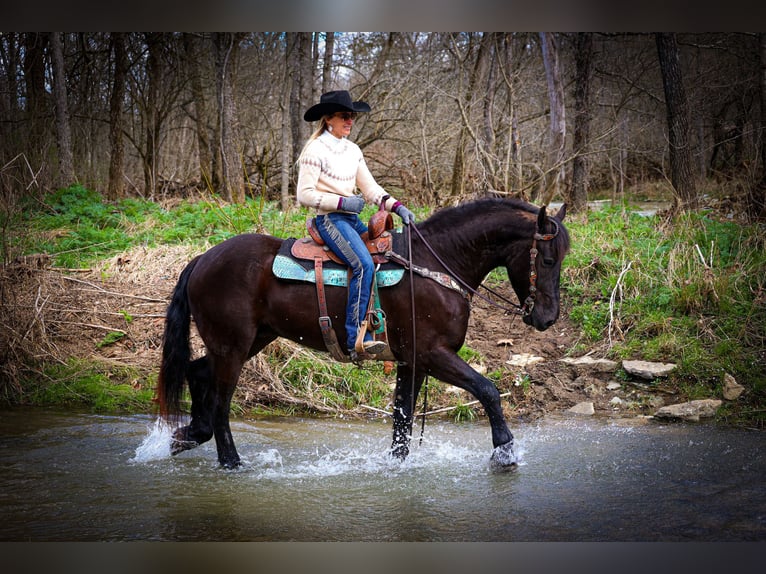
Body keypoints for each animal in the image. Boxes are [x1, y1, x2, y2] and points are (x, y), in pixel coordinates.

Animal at [158, 200, 568, 470]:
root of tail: (203, 259)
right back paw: (230, 461)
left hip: (250, 340)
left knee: (197, 372)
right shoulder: (434, 354)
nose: (547, 318)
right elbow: (487, 390)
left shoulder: (412, 362)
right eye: (548, 260)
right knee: (221, 401)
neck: (434, 265)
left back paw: (190, 435)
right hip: (233, 346)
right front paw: (505, 451)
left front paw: (395, 465)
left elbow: (402, 420)